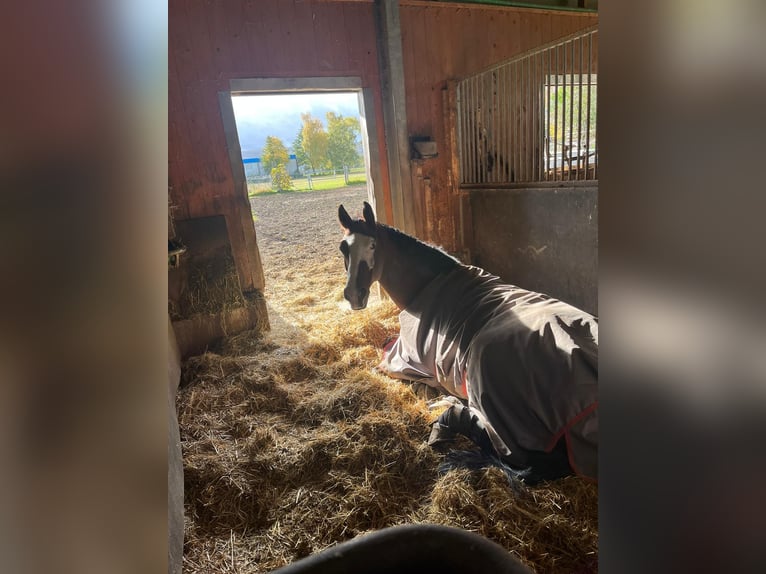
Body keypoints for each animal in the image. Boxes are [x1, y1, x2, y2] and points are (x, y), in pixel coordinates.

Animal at [338, 204, 600, 486]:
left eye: (373, 245)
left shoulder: (406, 360)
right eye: (343, 248)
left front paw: (432, 394)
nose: (354, 296)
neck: (427, 286)